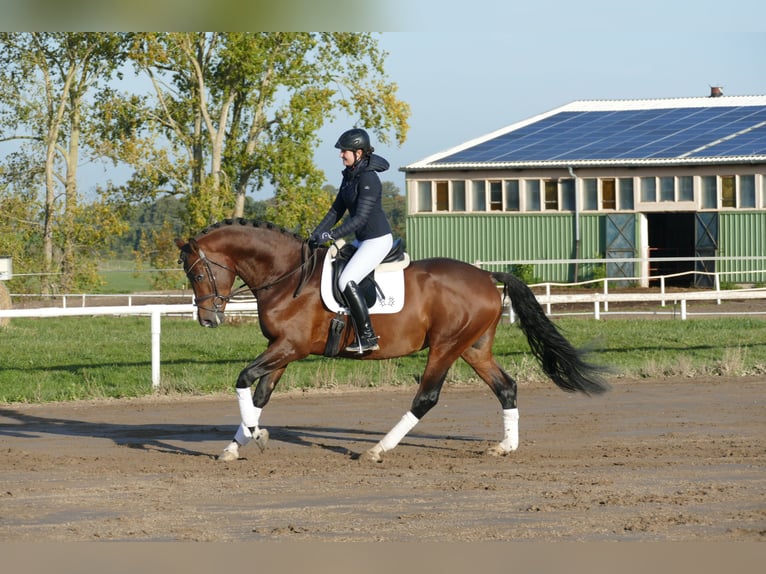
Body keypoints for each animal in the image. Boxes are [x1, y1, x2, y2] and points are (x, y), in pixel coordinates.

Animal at [176, 218, 612, 466]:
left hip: (446, 347)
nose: (209, 319)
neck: (287, 276)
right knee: (506, 387)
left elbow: (243, 379)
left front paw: (255, 437)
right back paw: (505, 447)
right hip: (473, 348)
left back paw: (378, 449)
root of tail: (487, 276)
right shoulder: (281, 351)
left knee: (426, 397)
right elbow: (259, 394)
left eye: (197, 273)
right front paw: (237, 445)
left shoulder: (290, 348)